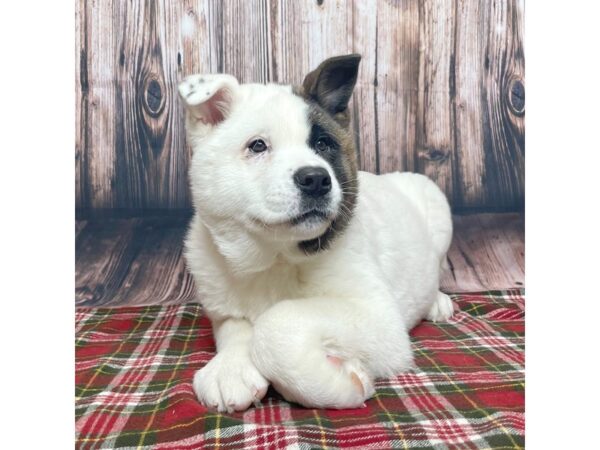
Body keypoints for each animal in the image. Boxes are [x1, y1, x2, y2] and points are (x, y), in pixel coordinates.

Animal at [178, 54, 454, 414]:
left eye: (323, 144)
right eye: (257, 146)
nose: (316, 180)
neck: (275, 257)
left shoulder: (379, 318)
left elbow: (276, 324)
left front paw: (340, 382)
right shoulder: (222, 307)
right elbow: (237, 328)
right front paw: (230, 367)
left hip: (435, 202)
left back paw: (437, 301)